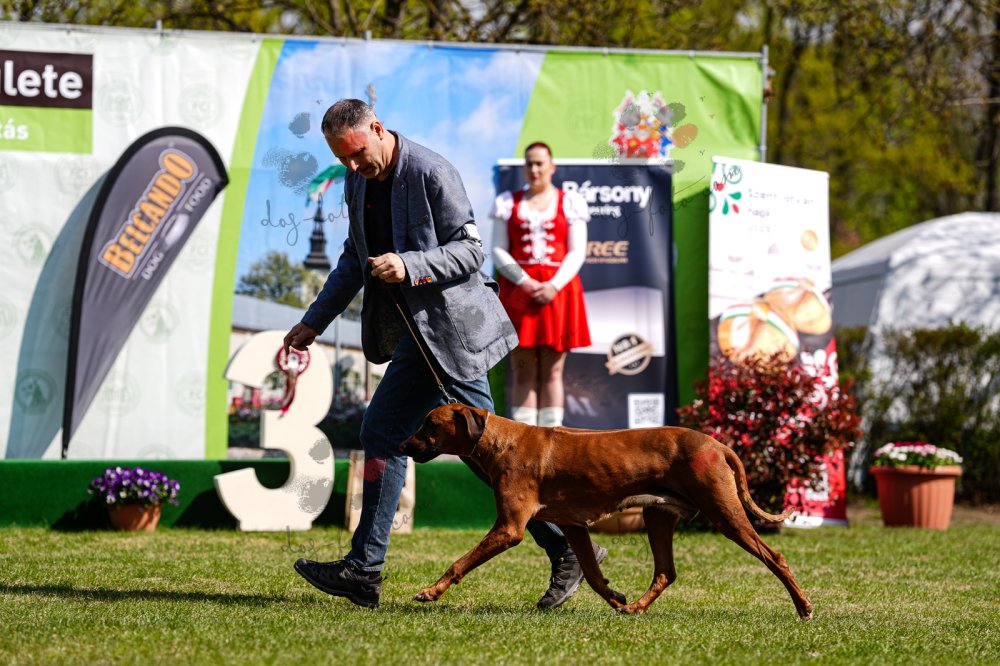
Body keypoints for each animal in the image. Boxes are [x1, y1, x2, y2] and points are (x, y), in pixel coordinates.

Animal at [399, 403, 813, 619]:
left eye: (428, 424)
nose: (402, 444)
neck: (501, 440)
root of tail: (717, 444)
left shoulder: (509, 528)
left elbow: (460, 563)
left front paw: (430, 591)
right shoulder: (573, 526)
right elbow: (595, 577)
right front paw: (616, 598)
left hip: (724, 513)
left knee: (774, 557)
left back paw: (804, 606)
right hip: (658, 516)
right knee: (666, 571)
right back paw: (637, 608)